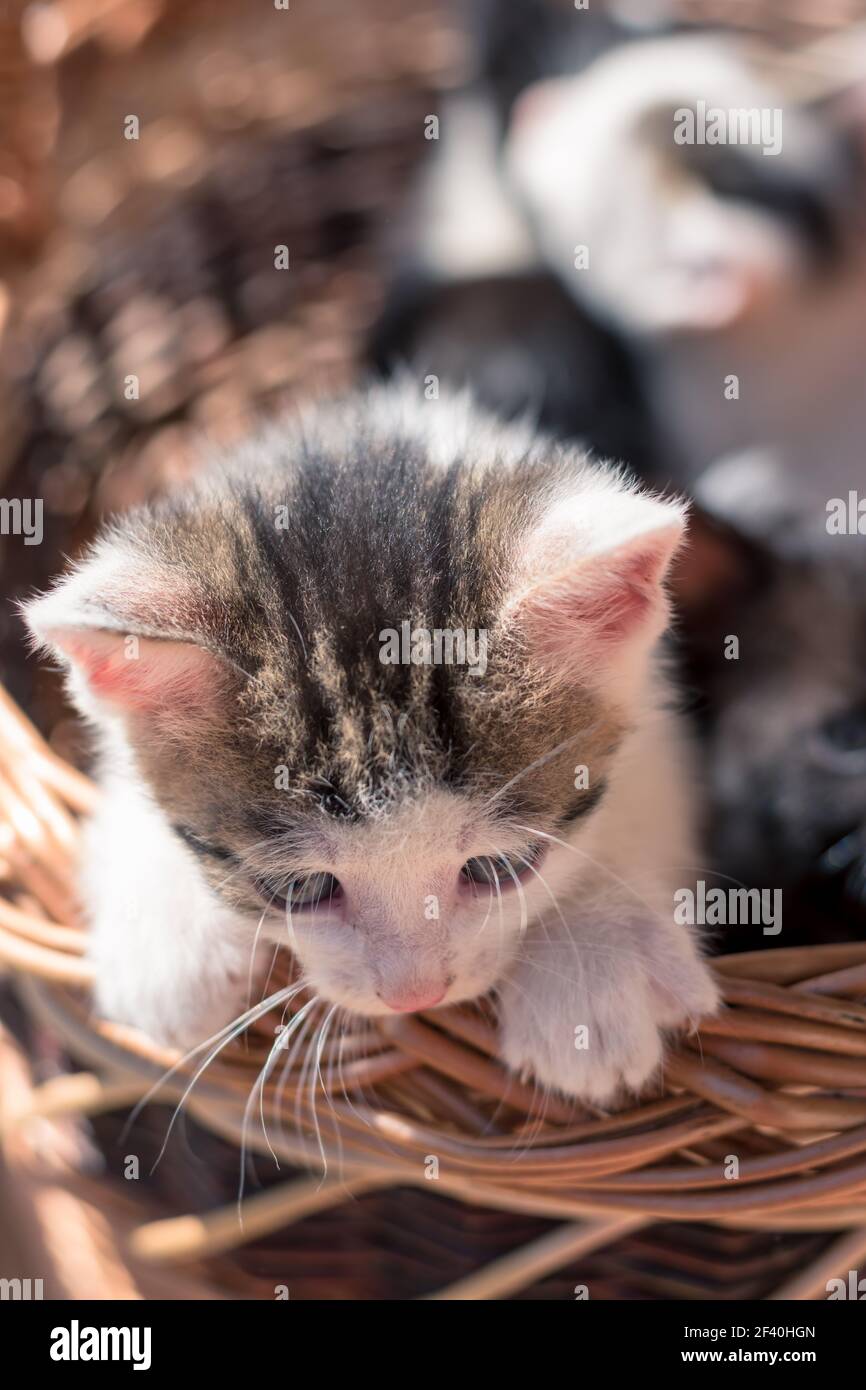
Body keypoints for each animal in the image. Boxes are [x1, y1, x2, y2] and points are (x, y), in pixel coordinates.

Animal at [25, 380, 717, 1095]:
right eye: (300, 890)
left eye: (499, 869)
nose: (415, 995)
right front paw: (166, 943)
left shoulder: (659, 715)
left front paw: (594, 961)